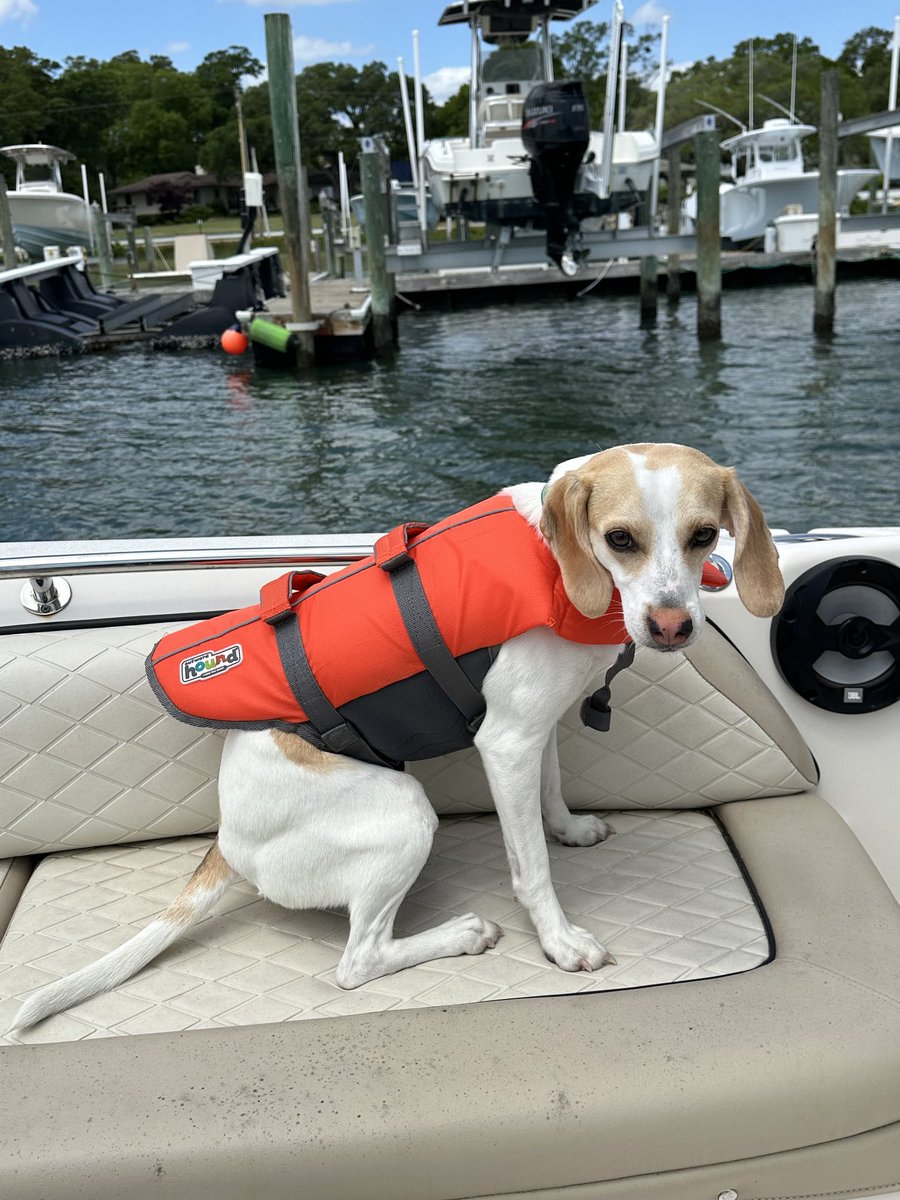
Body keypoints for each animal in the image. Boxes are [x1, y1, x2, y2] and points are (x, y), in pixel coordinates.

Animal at [8, 446, 782, 1027]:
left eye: (704, 536)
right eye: (621, 539)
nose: (671, 627)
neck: (555, 561)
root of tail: (226, 844)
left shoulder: (535, 731)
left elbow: (552, 793)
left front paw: (568, 829)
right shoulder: (506, 745)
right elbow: (530, 867)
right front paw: (560, 942)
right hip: (405, 813)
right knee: (358, 962)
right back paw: (461, 934)